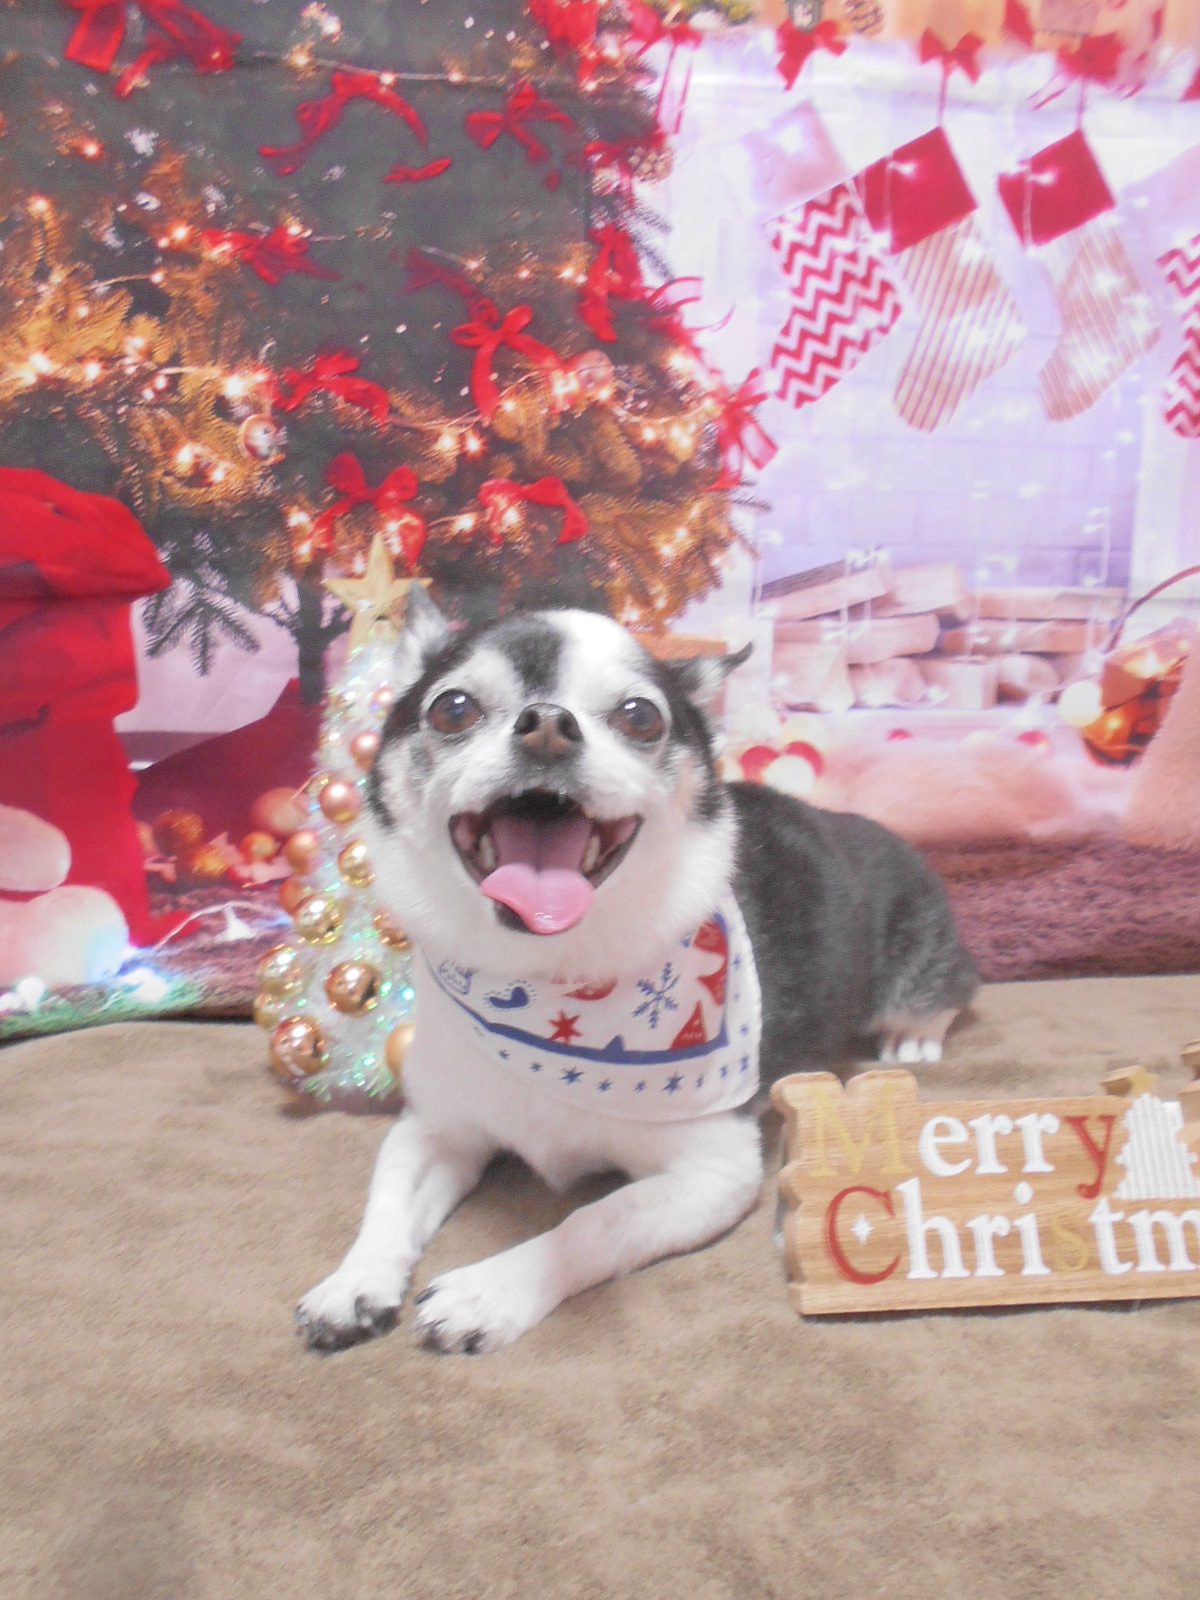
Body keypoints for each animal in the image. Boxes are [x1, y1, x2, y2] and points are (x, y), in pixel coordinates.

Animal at [296, 594, 978, 1355]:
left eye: (639, 716)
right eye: (453, 708)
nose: (547, 723)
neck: (547, 977)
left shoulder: (715, 1172)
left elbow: (594, 1221)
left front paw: (489, 1292)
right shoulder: (437, 1129)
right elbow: (386, 1200)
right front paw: (354, 1283)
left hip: (919, 955)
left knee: (946, 990)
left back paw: (914, 1037)